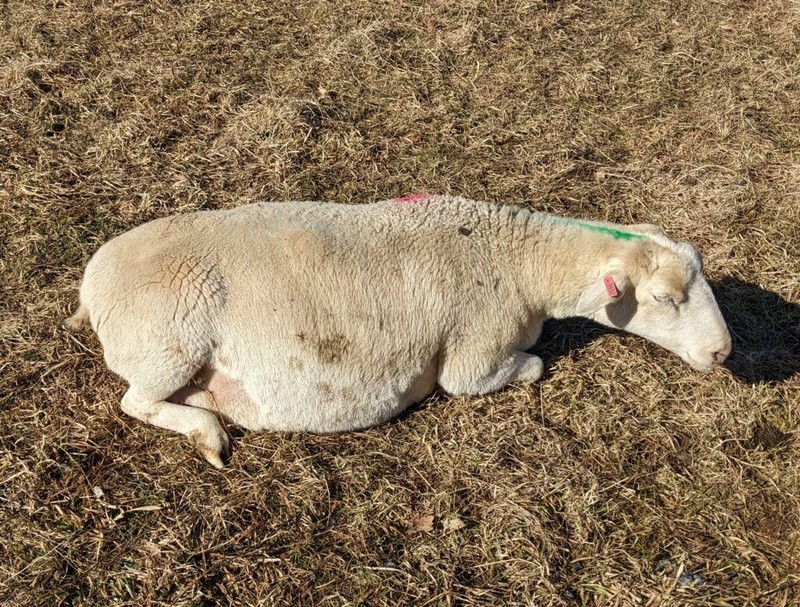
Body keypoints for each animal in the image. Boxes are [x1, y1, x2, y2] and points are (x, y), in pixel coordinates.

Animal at [67, 197, 732, 468]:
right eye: (665, 299)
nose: (723, 351)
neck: (517, 265)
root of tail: (91, 289)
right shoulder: (475, 358)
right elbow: (530, 366)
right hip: (168, 341)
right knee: (136, 400)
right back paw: (207, 432)